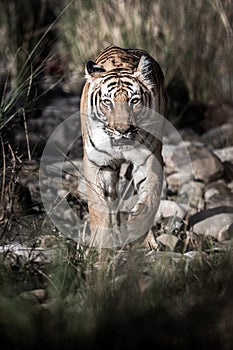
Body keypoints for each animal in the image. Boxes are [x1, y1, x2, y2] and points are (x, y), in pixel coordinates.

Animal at [80, 45, 167, 249]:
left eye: (134, 101)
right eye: (107, 102)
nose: (122, 130)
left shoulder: (149, 159)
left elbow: (150, 199)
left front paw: (136, 229)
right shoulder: (97, 163)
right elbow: (98, 208)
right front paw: (100, 243)